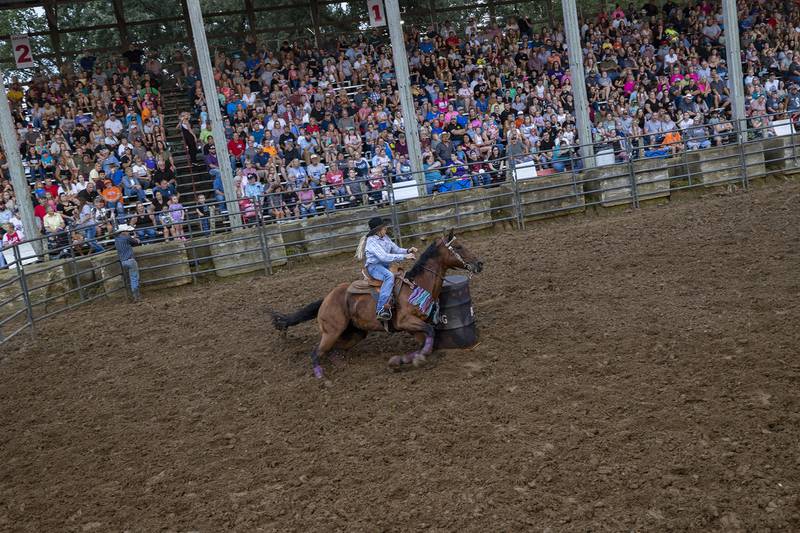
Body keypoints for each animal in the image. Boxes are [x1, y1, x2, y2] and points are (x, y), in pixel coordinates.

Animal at [270, 230, 482, 378]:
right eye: (459, 247)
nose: (479, 263)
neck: (417, 285)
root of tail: (326, 299)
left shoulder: (414, 327)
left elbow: (429, 341)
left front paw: (405, 360)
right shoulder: (406, 322)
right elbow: (430, 333)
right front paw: (413, 360)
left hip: (354, 333)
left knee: (333, 350)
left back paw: (340, 365)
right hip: (331, 331)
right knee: (316, 353)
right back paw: (323, 378)